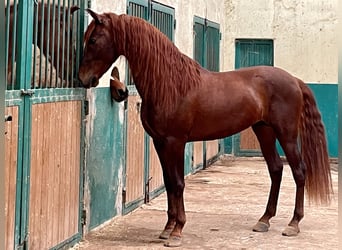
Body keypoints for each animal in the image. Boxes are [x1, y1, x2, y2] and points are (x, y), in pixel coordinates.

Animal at [79, 9, 332, 248]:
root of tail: (294, 80)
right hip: (264, 130)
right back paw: (264, 220)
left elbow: (178, 183)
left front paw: (177, 231)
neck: (169, 84)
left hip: (286, 134)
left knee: (299, 171)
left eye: (93, 40)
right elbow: (168, 182)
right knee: (276, 169)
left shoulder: (175, 142)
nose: (83, 79)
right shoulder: (160, 142)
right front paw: (167, 228)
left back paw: (293, 223)